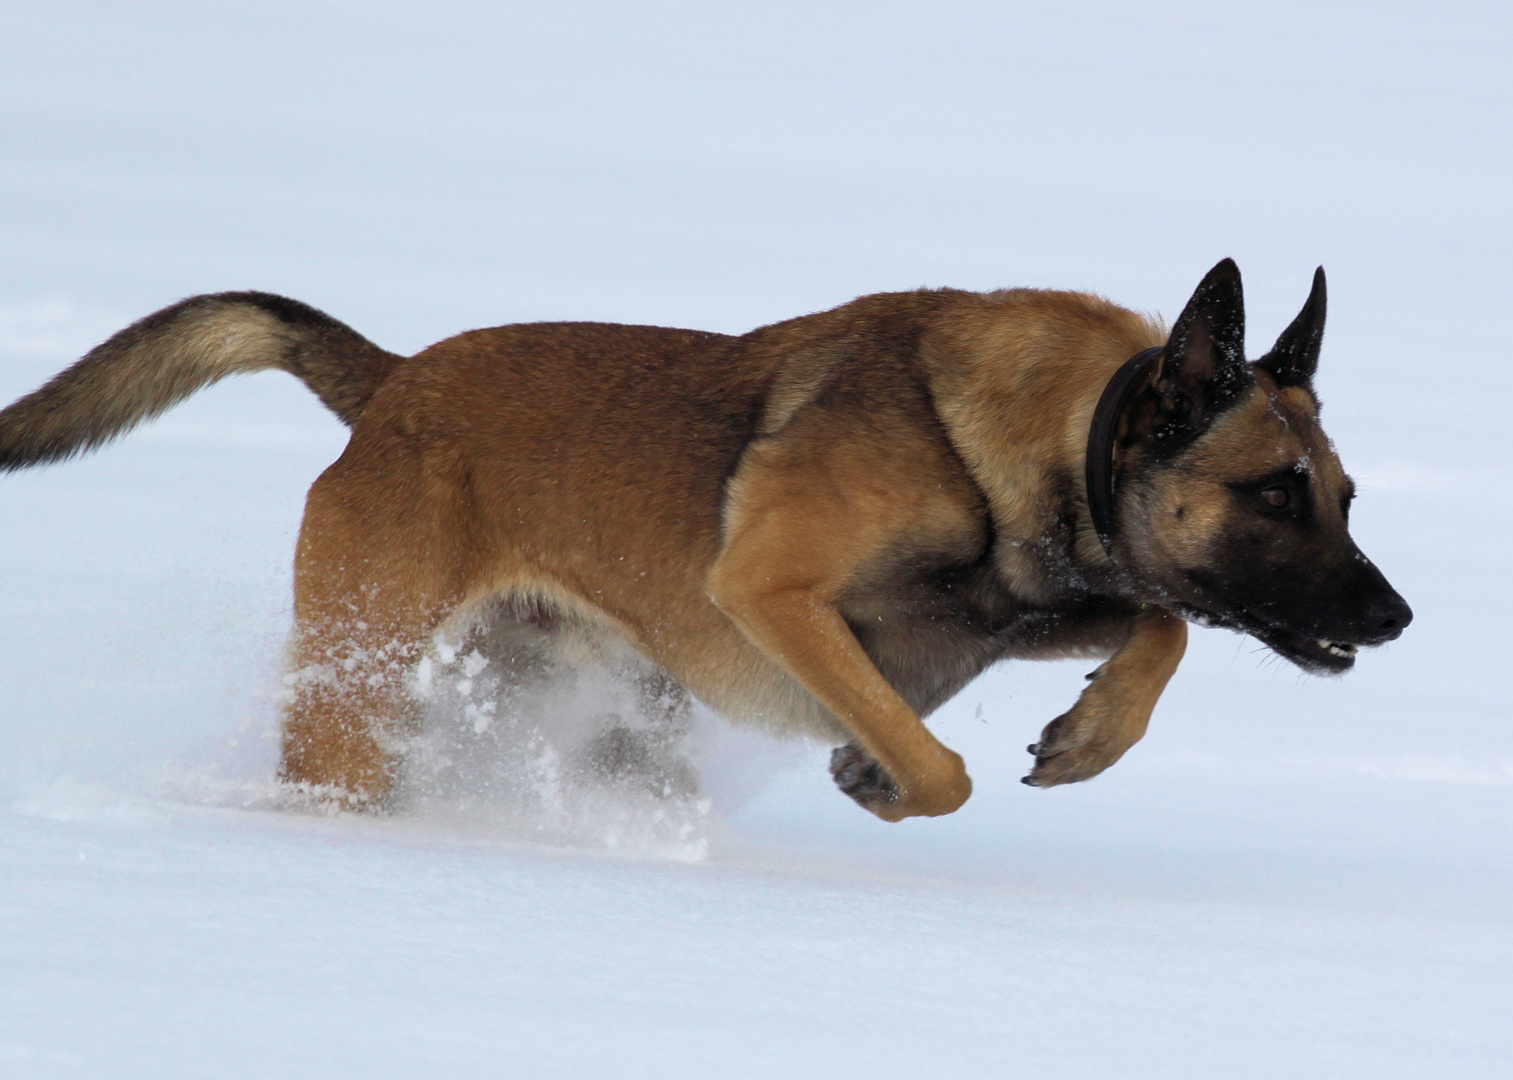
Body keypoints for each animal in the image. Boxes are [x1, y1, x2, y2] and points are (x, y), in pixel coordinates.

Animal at [5, 260, 1410, 816]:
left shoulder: (1010, 607)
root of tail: (396, 382)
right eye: (1274, 493)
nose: (1396, 620)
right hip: (364, 681)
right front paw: (884, 777)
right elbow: (938, 765)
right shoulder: (773, 595)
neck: (1053, 440)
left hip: (609, 715)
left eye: (1342, 495)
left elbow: (1161, 622)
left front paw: (1087, 736)